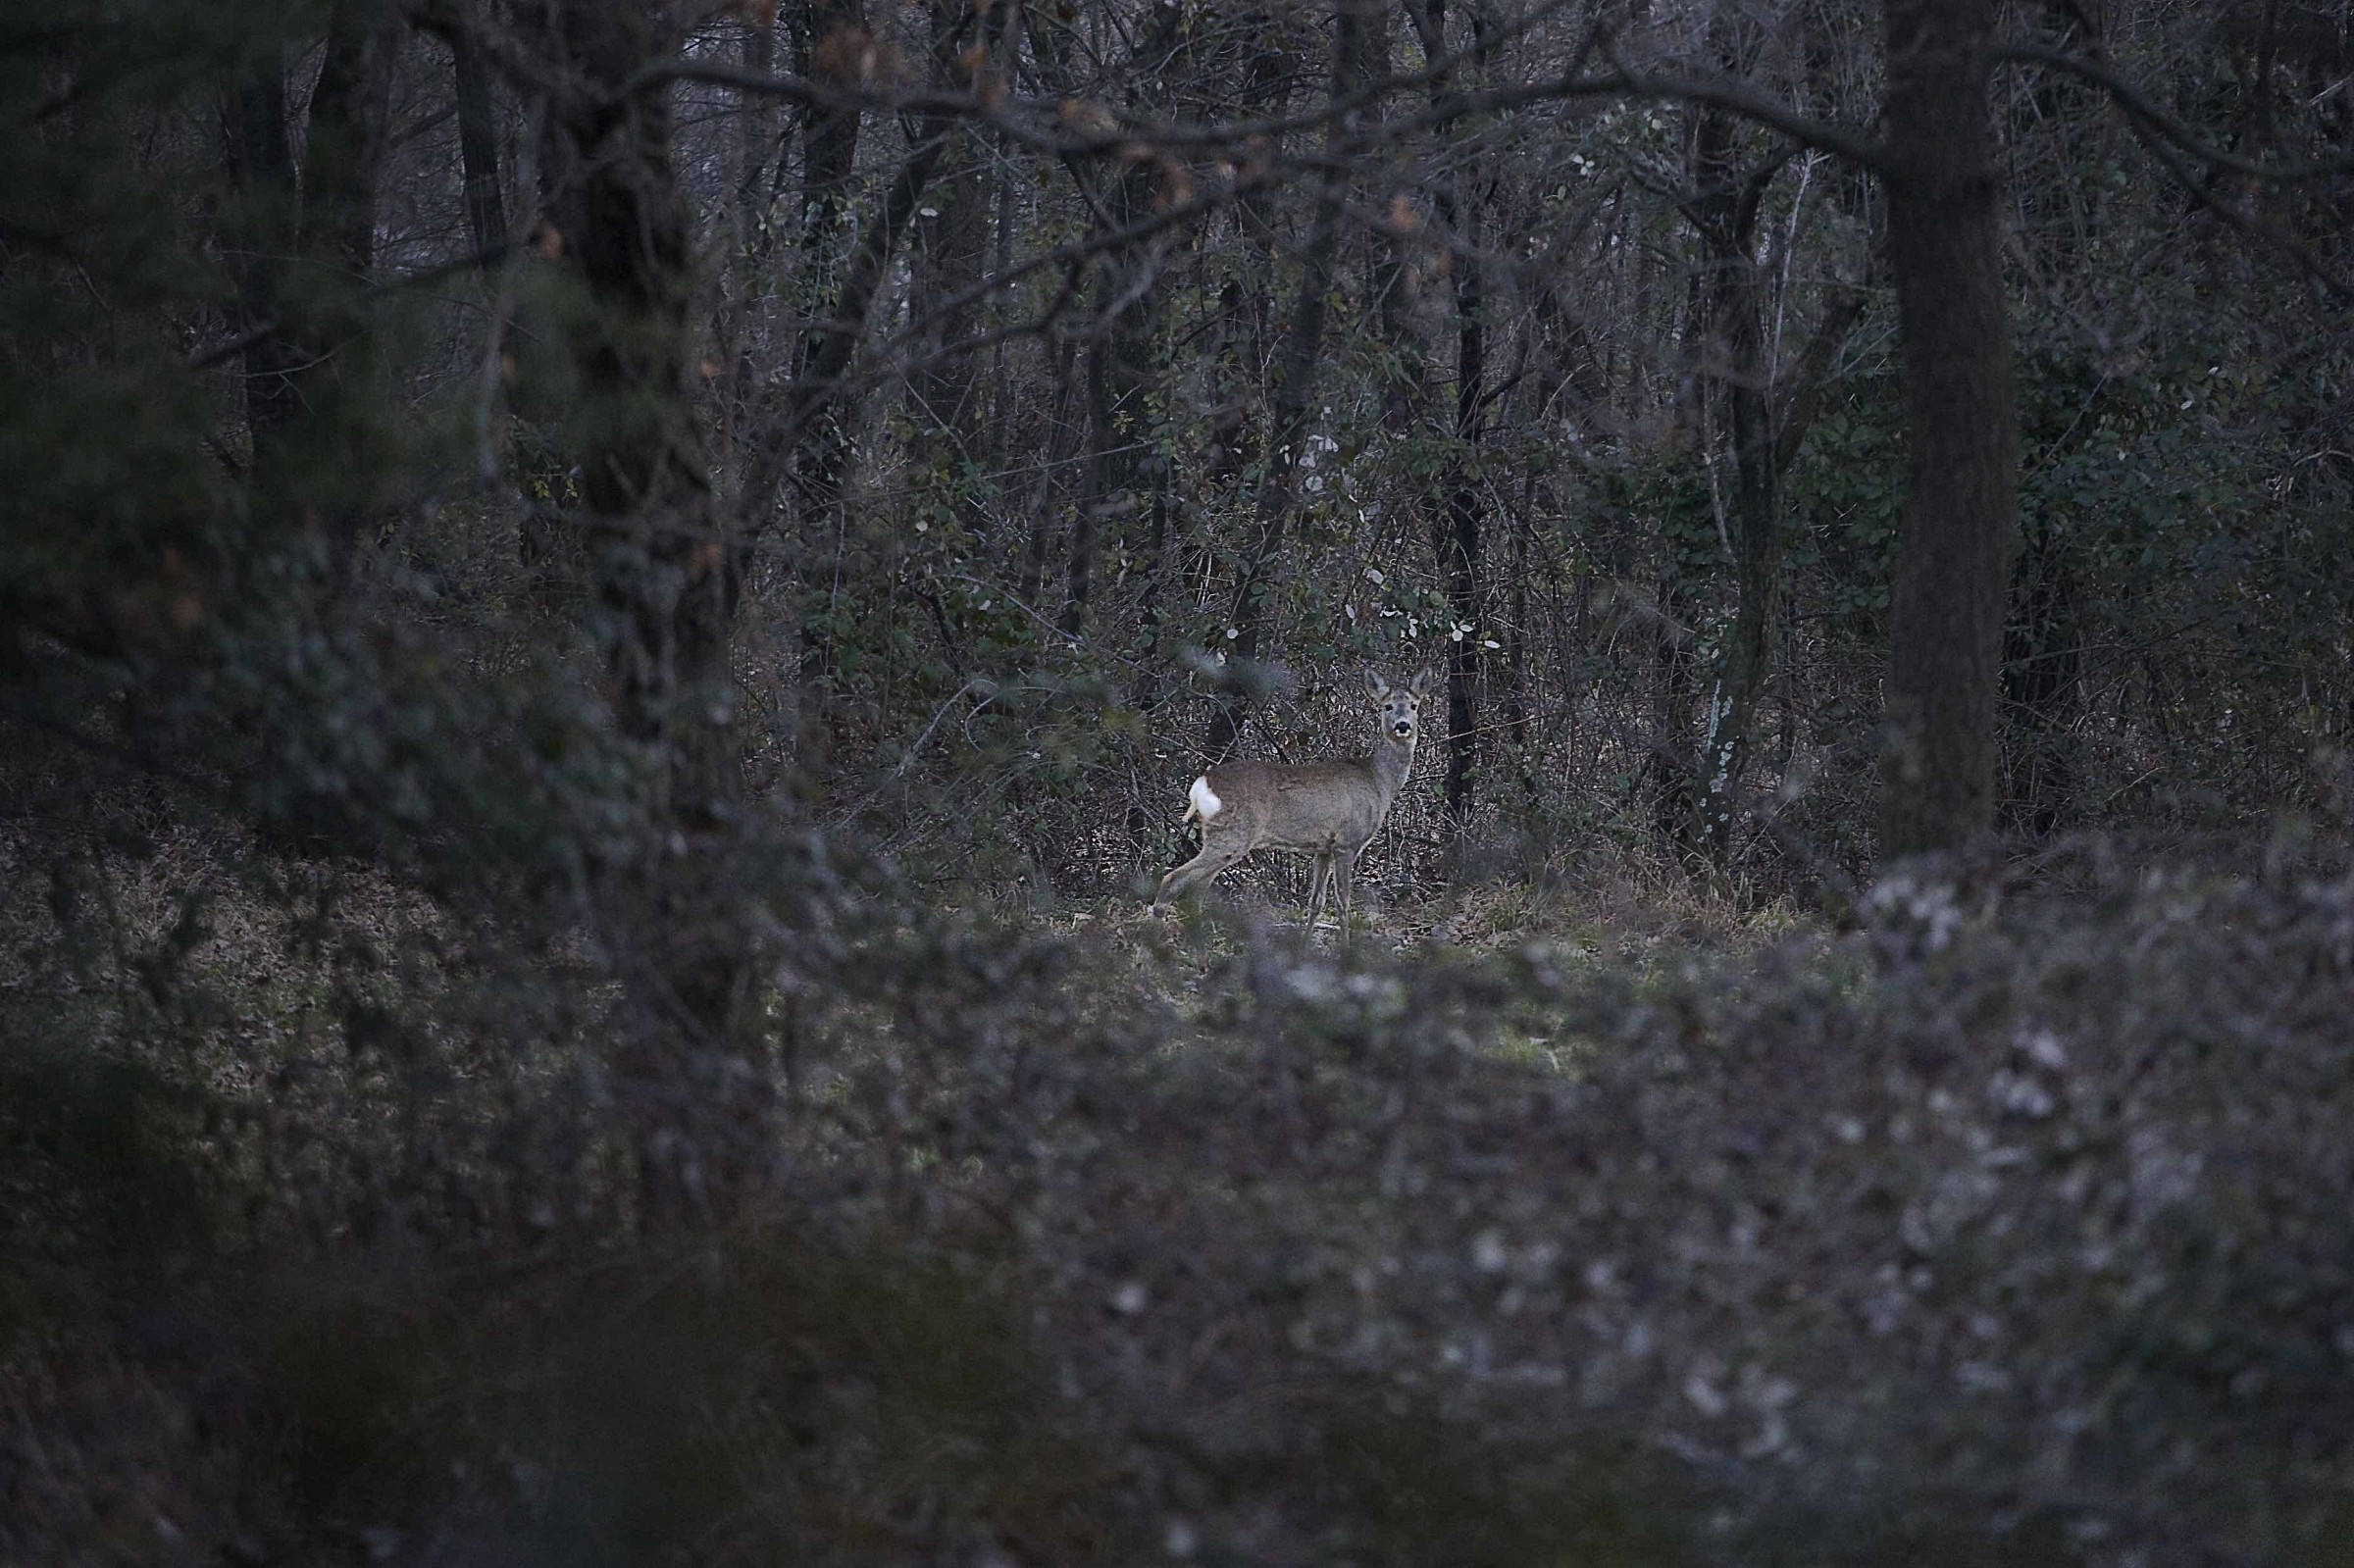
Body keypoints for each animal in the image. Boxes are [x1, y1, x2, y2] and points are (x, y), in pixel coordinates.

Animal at [1154, 669, 1435, 936]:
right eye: (1387, 706)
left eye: (1414, 705)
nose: (1402, 725)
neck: (1378, 780)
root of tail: (1201, 784)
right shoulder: (1348, 841)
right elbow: (1343, 902)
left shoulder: (1324, 847)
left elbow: (1316, 901)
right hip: (1233, 834)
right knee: (1172, 880)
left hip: (1222, 837)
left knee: (1199, 889)